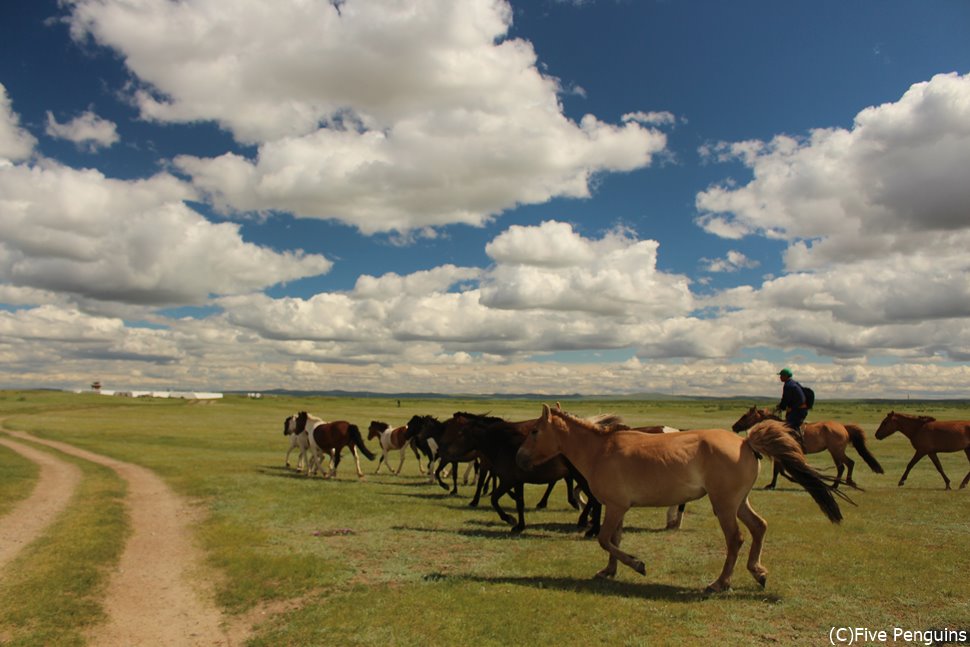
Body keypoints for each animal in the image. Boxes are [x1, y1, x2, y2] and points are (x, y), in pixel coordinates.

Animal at [516, 408, 848, 596]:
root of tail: (745, 442)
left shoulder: (616, 506)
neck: (601, 450)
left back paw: (720, 583)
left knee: (736, 539)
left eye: (534, 430)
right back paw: (758, 572)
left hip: (724, 506)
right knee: (759, 528)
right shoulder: (617, 507)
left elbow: (604, 539)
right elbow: (613, 540)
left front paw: (637, 565)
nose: (519, 457)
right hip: (739, 502)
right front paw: (609, 571)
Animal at [728, 408, 880, 488]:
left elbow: (779, 470)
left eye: (745, 416)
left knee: (845, 465)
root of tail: (843, 427)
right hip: (837, 451)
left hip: (836, 451)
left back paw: (839, 484)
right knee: (847, 464)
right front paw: (772, 485)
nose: (734, 426)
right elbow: (778, 471)